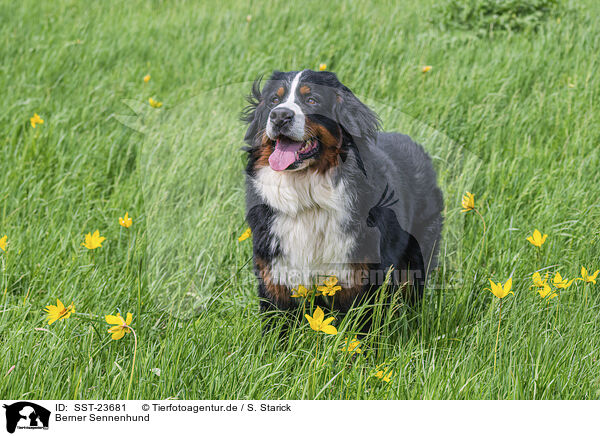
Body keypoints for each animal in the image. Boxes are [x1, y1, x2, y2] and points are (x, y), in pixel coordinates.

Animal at [241, 67, 442, 328]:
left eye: (312, 100)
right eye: (274, 100)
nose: (279, 116)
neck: (307, 197)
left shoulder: (360, 280)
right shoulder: (276, 276)